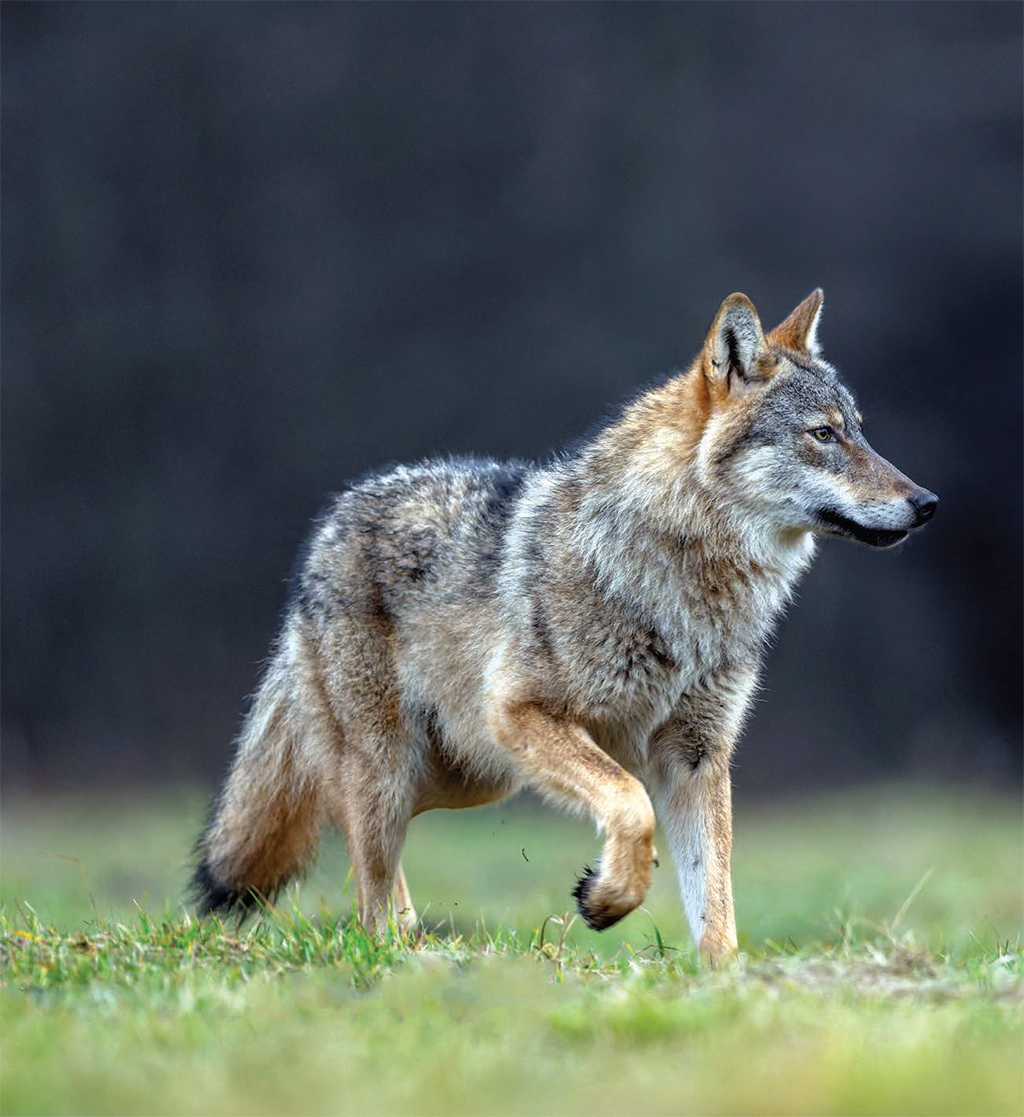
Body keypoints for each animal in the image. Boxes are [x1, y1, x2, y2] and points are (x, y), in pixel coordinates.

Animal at [191, 289, 937, 963]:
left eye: (859, 430)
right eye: (823, 434)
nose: (927, 503)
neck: (680, 575)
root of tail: (332, 518)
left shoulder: (698, 756)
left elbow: (718, 901)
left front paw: (726, 982)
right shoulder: (526, 712)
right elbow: (630, 806)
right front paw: (609, 898)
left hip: (471, 773)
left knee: (349, 835)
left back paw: (417, 941)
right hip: (400, 765)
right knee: (360, 872)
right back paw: (405, 955)